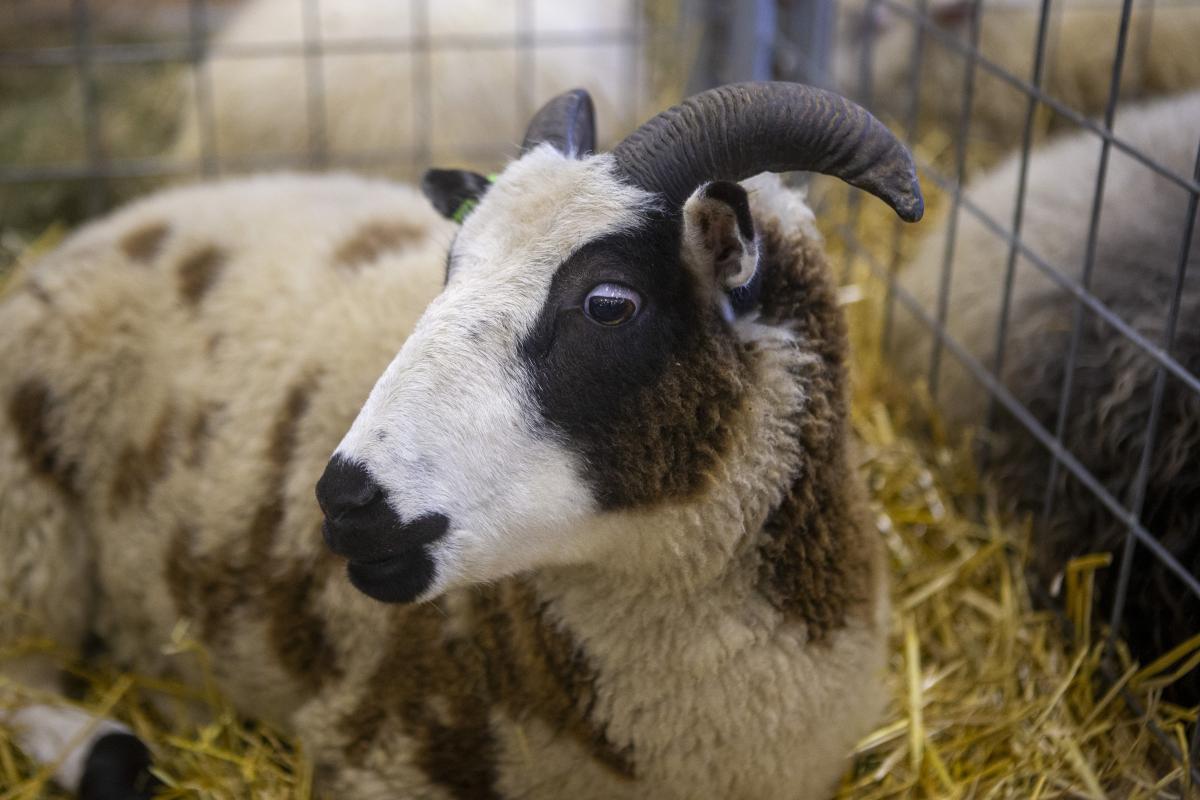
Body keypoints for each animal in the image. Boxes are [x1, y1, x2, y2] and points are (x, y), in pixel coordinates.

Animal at [0, 82, 924, 799]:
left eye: (609, 303)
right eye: (449, 265)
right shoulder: (375, 752)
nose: (346, 500)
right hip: (29, 516)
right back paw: (106, 753)